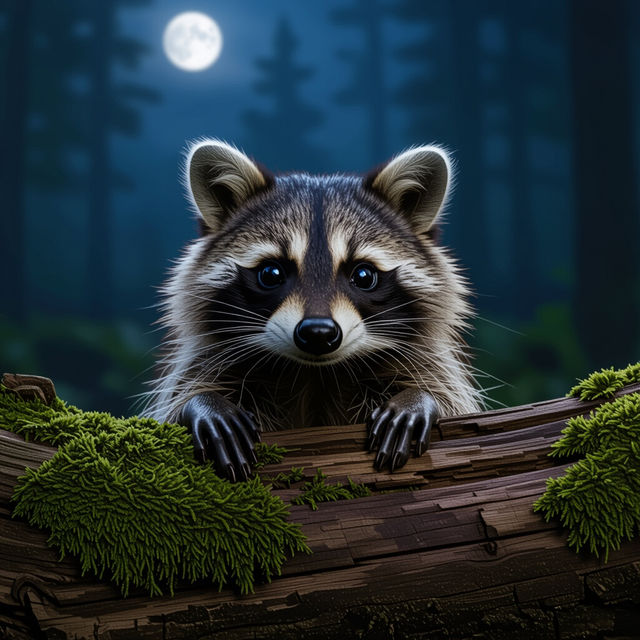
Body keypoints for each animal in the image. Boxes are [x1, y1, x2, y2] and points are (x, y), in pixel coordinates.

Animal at [145, 140, 482, 481]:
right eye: (271, 274)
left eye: (364, 275)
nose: (318, 332)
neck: (314, 375)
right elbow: (178, 402)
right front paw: (204, 404)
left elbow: (446, 396)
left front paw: (417, 399)